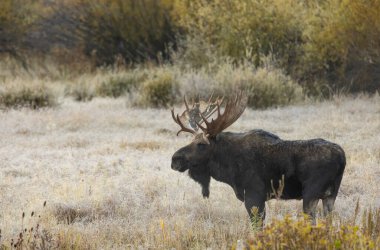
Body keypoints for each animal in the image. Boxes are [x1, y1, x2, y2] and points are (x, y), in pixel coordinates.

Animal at [171, 93, 346, 224]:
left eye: (201, 144)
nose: (174, 160)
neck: (227, 167)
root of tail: (342, 158)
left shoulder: (254, 196)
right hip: (330, 196)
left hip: (311, 194)